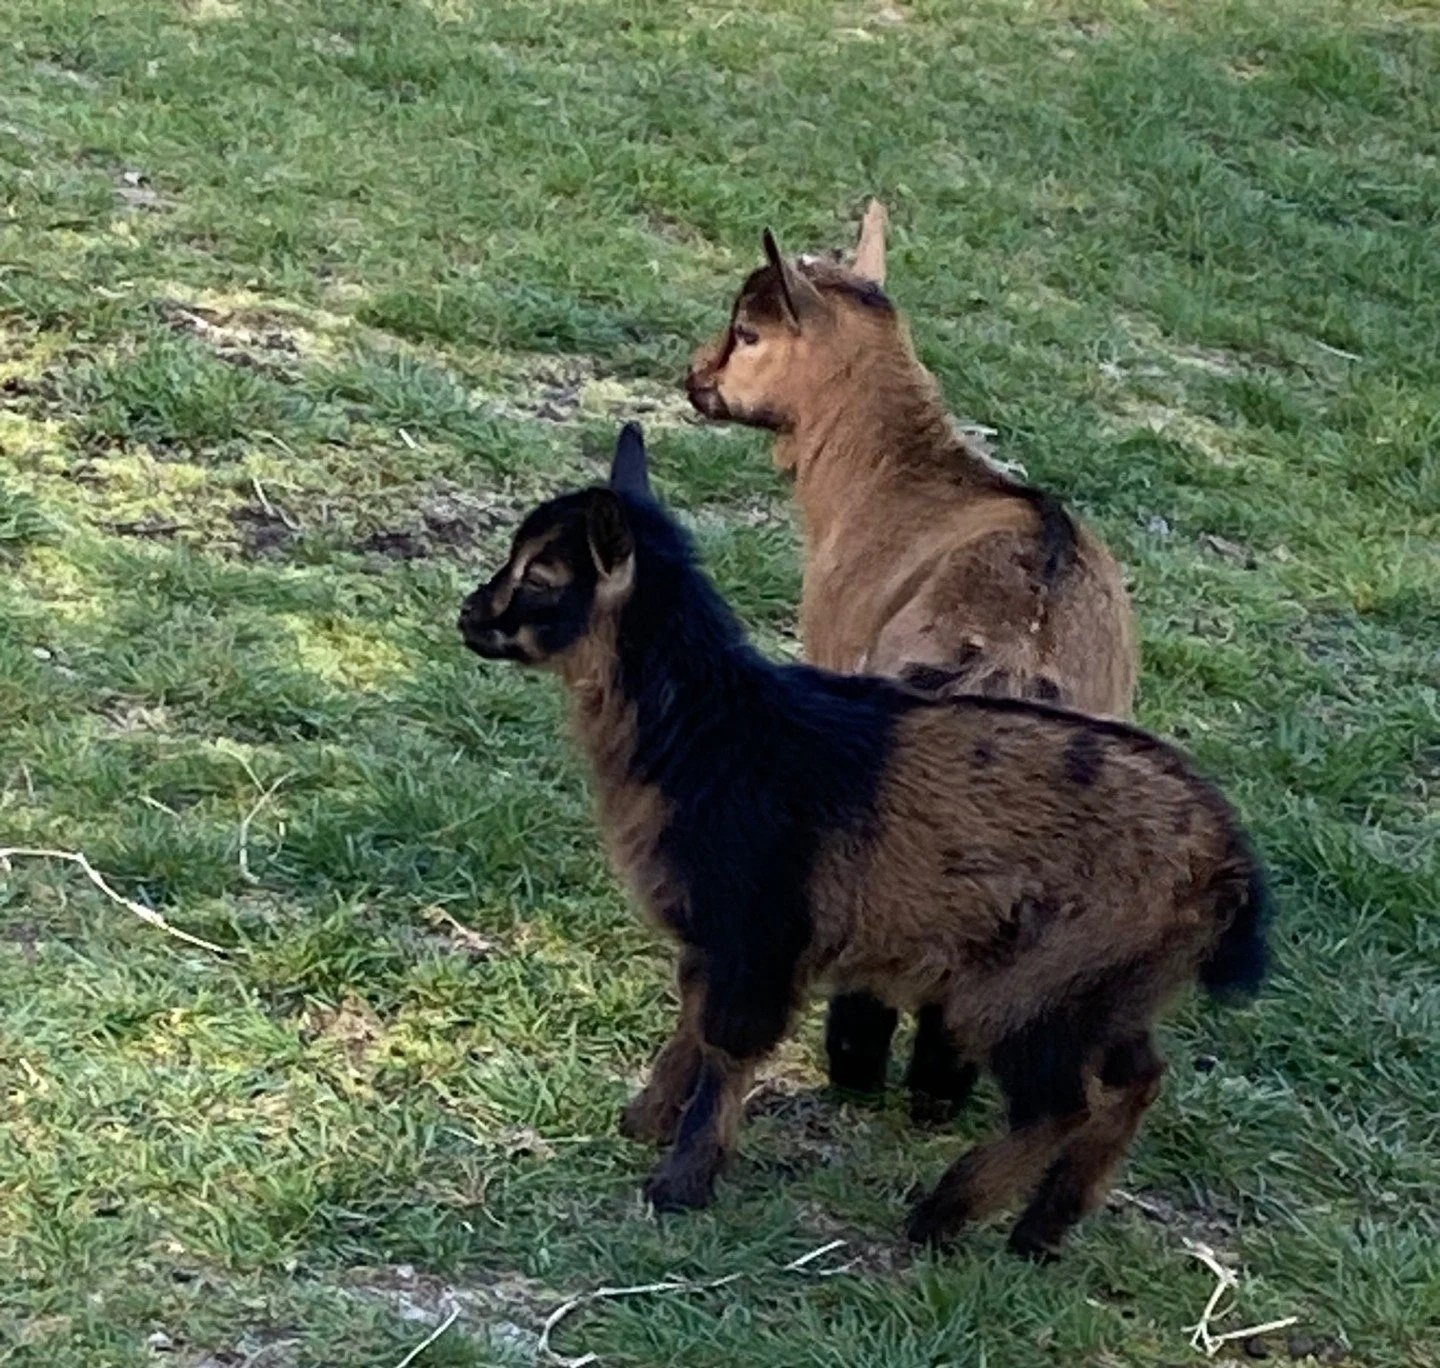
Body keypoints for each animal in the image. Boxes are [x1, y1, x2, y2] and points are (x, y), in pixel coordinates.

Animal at [457, 423, 1269, 1259]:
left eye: (543, 576)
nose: (471, 615)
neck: (713, 734)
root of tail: (1229, 867)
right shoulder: (715, 934)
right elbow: (692, 1025)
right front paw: (646, 1121)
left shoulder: (762, 929)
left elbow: (729, 1047)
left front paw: (681, 1183)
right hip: (1114, 987)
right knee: (1136, 1079)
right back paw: (1041, 1231)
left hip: (1035, 985)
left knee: (1060, 1105)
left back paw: (943, 1216)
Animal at [687, 205, 1140, 1121]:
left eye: (747, 332)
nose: (694, 377)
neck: (896, 474)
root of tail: (1021, 643)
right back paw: (939, 1087)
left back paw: (863, 1068)